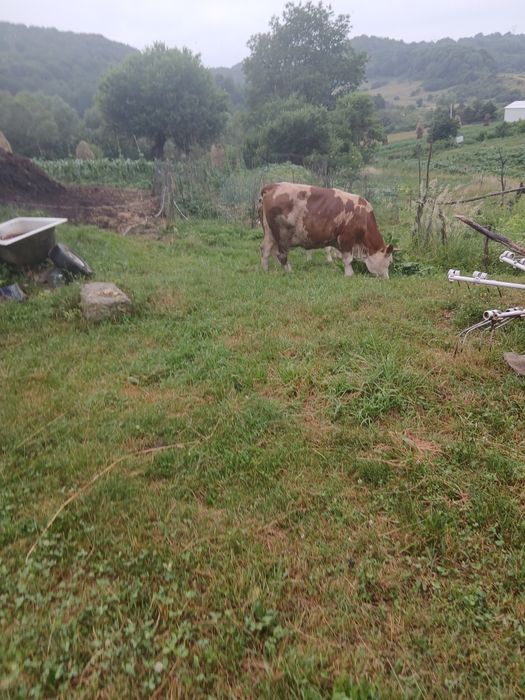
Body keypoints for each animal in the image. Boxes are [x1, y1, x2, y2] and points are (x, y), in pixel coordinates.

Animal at [259, 182, 393, 278]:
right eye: (389, 261)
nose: (387, 278)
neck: (362, 215)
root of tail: (272, 186)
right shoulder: (346, 237)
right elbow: (347, 259)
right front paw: (349, 274)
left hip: (270, 233)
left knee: (265, 249)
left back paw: (266, 270)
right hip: (282, 234)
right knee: (281, 254)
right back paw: (289, 271)